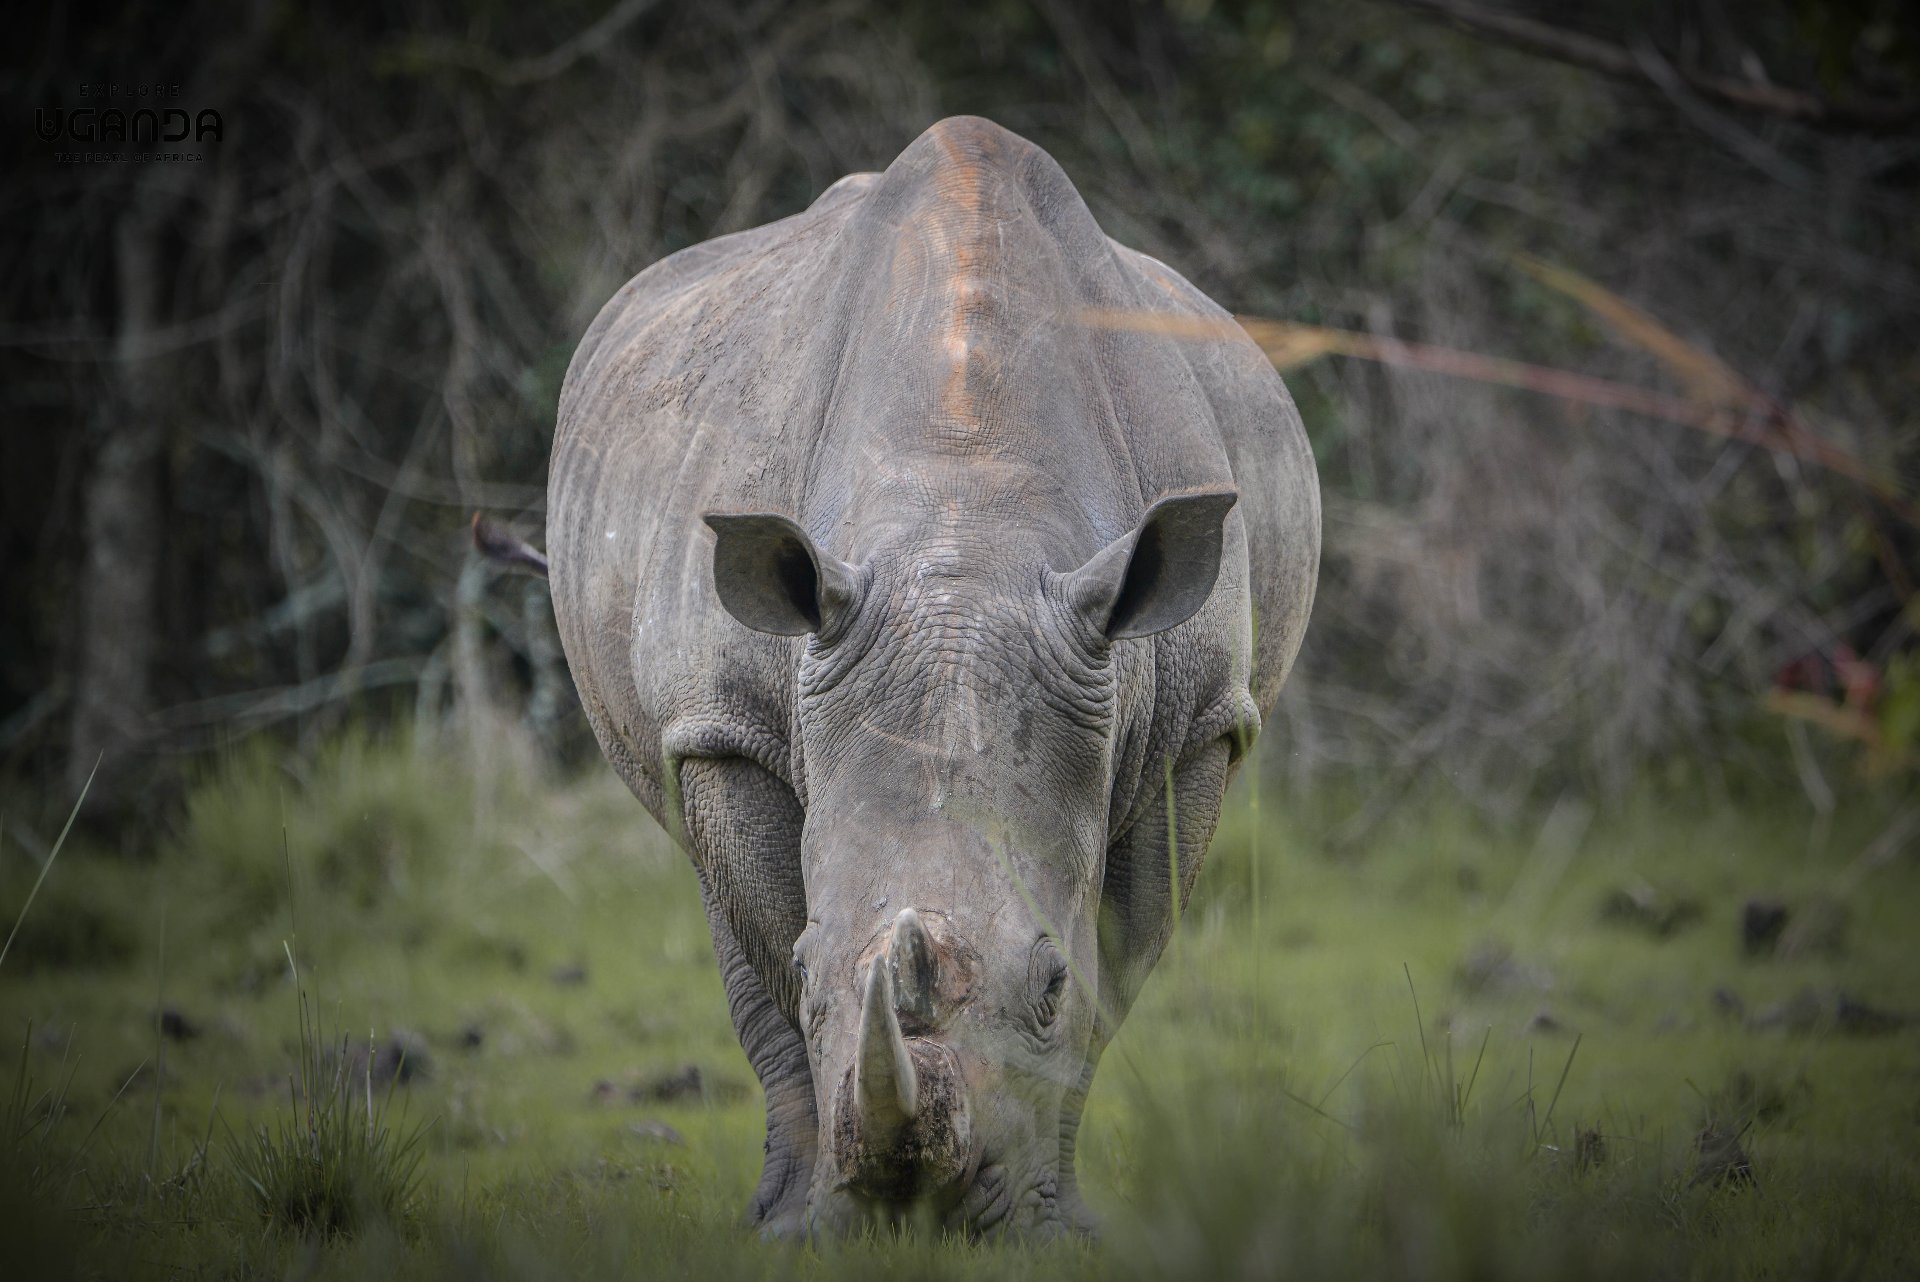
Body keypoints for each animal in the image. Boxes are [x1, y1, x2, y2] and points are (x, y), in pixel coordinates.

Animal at [542, 116, 1319, 1237]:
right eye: (817, 971)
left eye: (1047, 985)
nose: (918, 1206)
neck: (965, 516)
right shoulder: (726, 721)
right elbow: (768, 949)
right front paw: (811, 1231)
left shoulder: (1196, 726)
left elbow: (1115, 969)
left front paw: (1050, 1228)